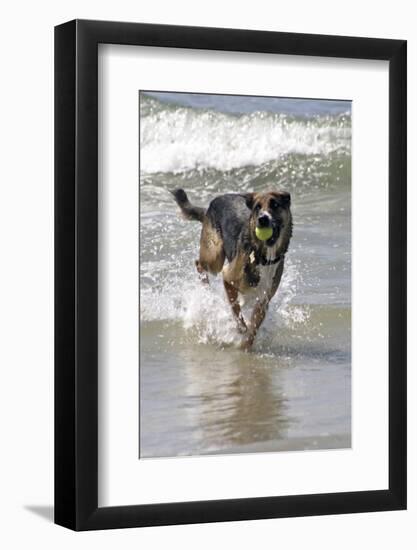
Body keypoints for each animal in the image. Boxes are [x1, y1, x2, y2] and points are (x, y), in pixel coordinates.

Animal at [171, 190, 290, 352]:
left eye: (275, 205)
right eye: (257, 207)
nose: (262, 219)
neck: (262, 256)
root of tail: (213, 202)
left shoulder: (263, 301)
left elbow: (253, 329)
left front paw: (246, 346)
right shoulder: (227, 276)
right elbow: (236, 309)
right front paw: (240, 328)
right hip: (214, 257)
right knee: (199, 264)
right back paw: (206, 289)